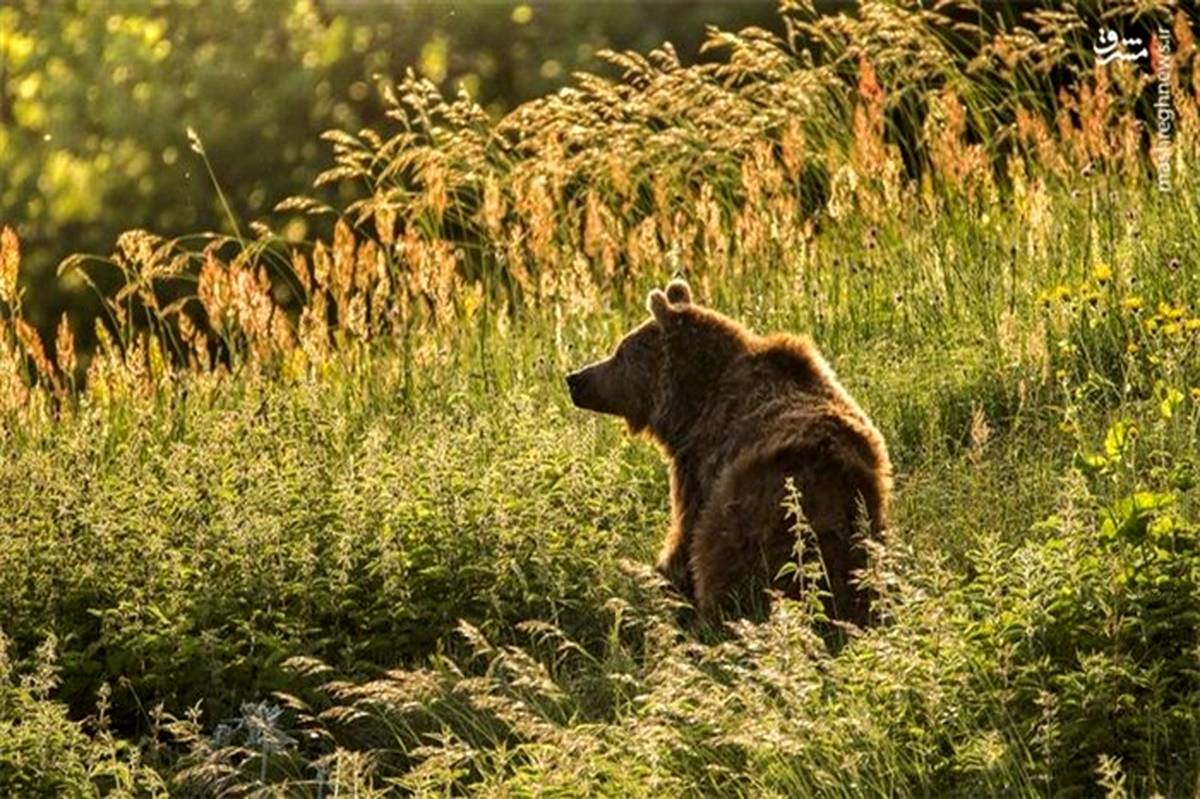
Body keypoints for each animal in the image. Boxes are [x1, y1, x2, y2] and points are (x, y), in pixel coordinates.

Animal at [564, 278, 892, 623]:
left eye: (619, 352)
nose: (575, 379)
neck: (691, 405)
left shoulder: (699, 461)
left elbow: (684, 532)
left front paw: (661, 575)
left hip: (752, 514)